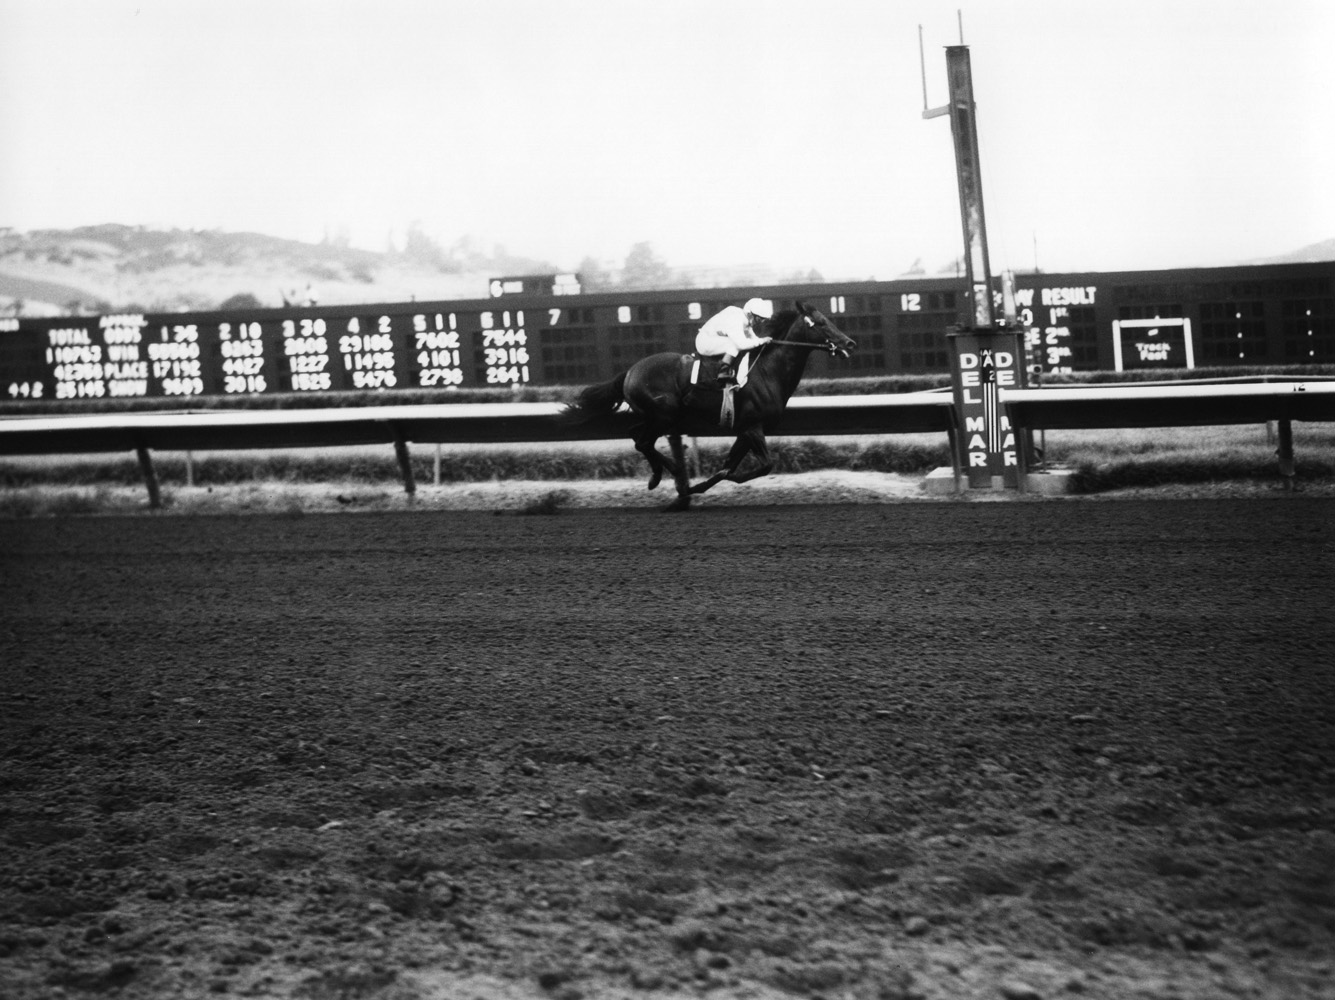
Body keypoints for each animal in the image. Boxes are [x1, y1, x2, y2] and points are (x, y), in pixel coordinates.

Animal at [560, 299, 854, 510]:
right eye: (821, 323)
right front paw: (692, 488)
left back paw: (658, 476)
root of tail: (630, 371)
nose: (849, 342)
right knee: (643, 442)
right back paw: (673, 471)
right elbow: (762, 466)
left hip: (656, 416)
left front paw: (695, 488)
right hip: (664, 416)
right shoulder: (752, 427)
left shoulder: (745, 431)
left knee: (637, 437)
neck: (767, 372)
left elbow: (730, 465)